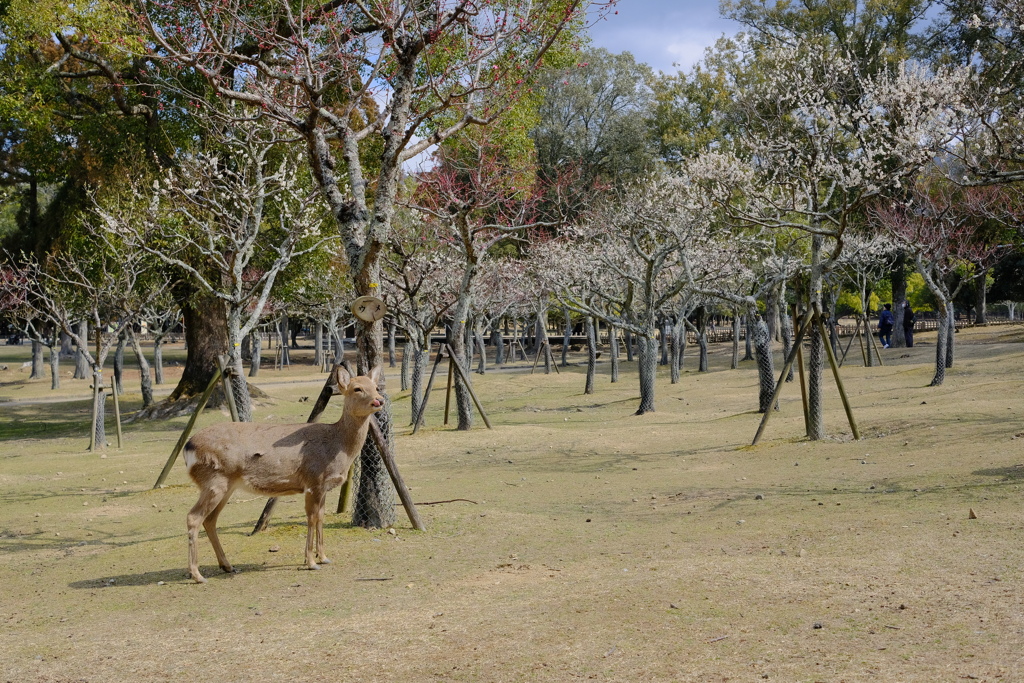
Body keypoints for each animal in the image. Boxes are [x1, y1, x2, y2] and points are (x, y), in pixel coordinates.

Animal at [182, 366, 382, 585]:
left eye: (376, 387)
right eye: (357, 388)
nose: (378, 400)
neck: (338, 447)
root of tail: (188, 447)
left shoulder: (323, 486)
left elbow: (321, 517)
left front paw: (324, 557)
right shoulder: (313, 480)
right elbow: (311, 518)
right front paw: (311, 562)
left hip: (225, 486)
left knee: (210, 520)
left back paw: (227, 566)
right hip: (214, 481)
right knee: (193, 517)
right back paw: (197, 575)